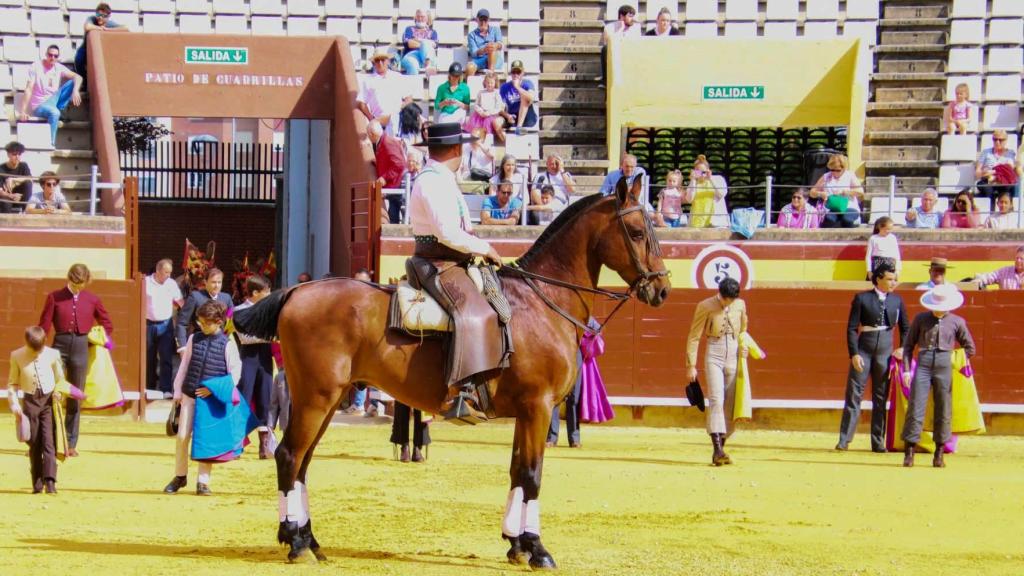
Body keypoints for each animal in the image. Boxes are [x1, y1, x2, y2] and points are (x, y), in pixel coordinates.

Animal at [235, 176, 675, 565]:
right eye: (637, 231)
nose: (662, 290)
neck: (542, 301)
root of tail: (296, 291)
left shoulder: (526, 412)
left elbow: (516, 472)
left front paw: (515, 543)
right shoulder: (539, 406)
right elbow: (532, 474)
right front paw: (536, 548)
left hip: (327, 400)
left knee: (303, 462)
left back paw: (310, 539)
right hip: (316, 397)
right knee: (290, 456)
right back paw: (295, 542)